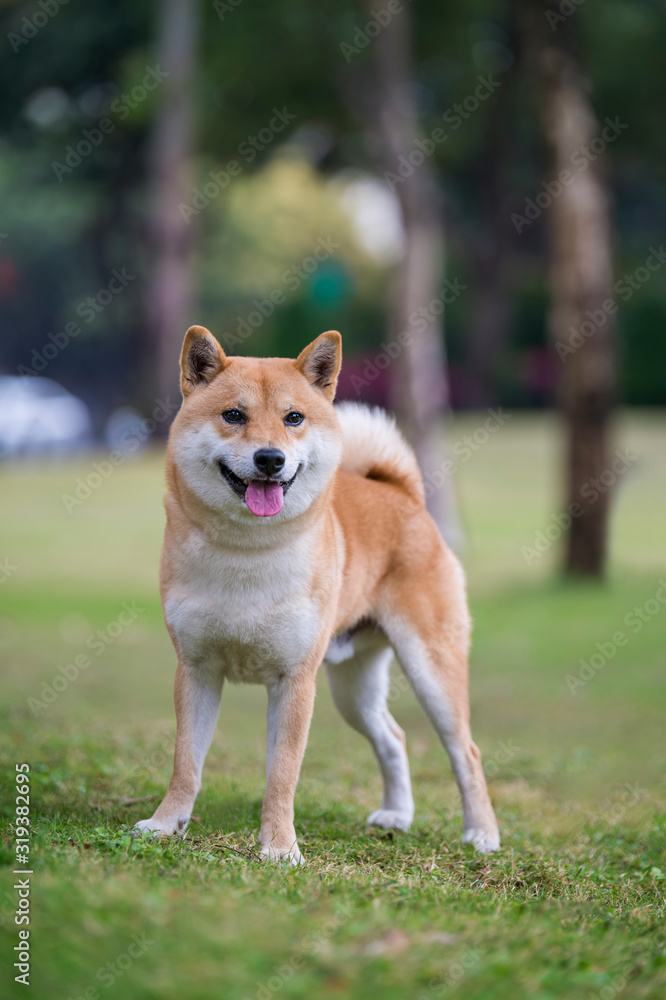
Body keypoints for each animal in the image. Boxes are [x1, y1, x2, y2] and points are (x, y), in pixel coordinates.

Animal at [134, 326, 498, 860]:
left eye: (294, 418)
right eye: (234, 415)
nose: (270, 459)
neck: (247, 552)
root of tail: (402, 494)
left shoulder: (294, 681)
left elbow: (283, 773)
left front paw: (279, 848)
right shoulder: (196, 671)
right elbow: (186, 764)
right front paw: (165, 824)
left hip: (431, 670)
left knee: (466, 750)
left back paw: (482, 833)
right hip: (355, 690)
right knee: (393, 737)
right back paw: (397, 815)